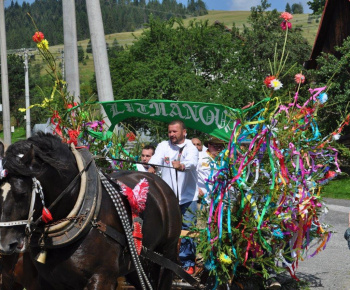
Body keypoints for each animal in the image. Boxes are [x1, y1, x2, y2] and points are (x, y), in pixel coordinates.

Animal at [0, 133, 182, 288]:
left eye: (22, 193)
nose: (5, 244)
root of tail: (160, 183)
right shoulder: (46, 281)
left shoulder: (102, 278)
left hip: (166, 256)